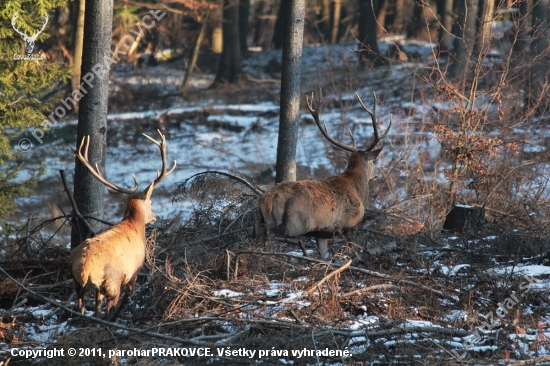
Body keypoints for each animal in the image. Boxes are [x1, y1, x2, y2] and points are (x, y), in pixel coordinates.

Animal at [68, 130, 177, 318]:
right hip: (112, 281)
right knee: (109, 309)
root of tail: (83, 268)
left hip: (78, 284)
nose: (155, 217)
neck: (134, 225)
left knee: (87, 308)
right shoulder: (135, 271)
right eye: (151, 203)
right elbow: (130, 293)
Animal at [258, 92, 392, 258]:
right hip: (296, 222)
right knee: (269, 232)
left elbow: (324, 256)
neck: (358, 190)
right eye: (374, 161)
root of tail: (269, 197)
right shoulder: (350, 225)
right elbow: (351, 248)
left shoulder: (322, 233)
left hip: (267, 217)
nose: (377, 174)